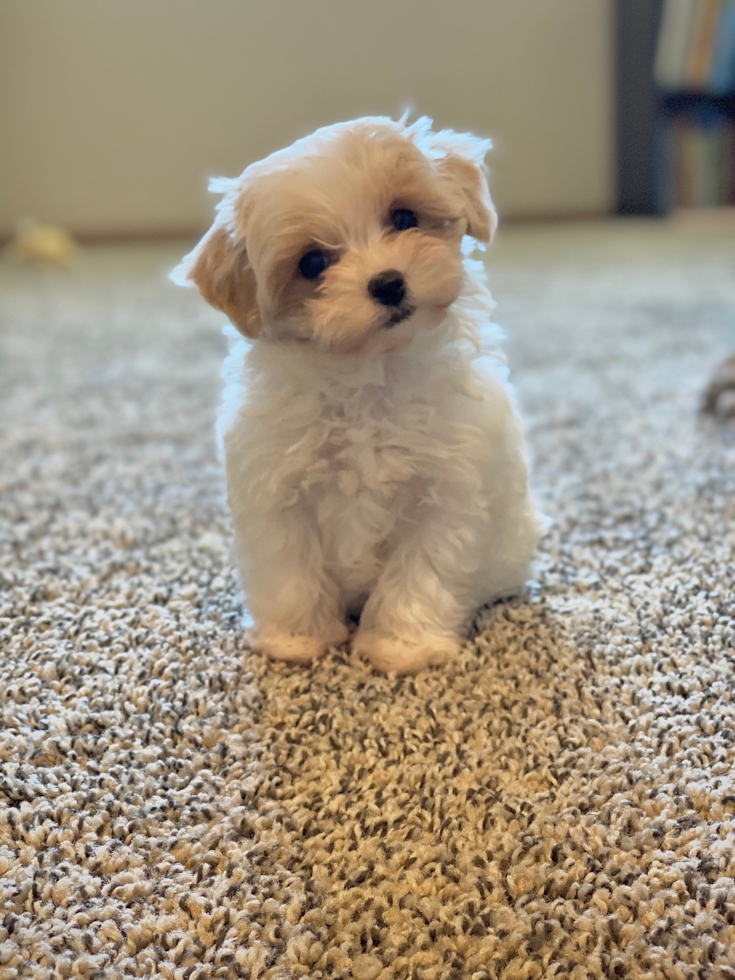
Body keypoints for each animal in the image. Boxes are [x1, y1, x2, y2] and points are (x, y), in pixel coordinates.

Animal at [172, 111, 540, 668]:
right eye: (312, 264)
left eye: (404, 217)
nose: (388, 283)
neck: (367, 377)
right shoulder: (276, 490)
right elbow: (289, 569)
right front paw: (296, 639)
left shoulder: (449, 488)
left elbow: (423, 570)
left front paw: (402, 645)